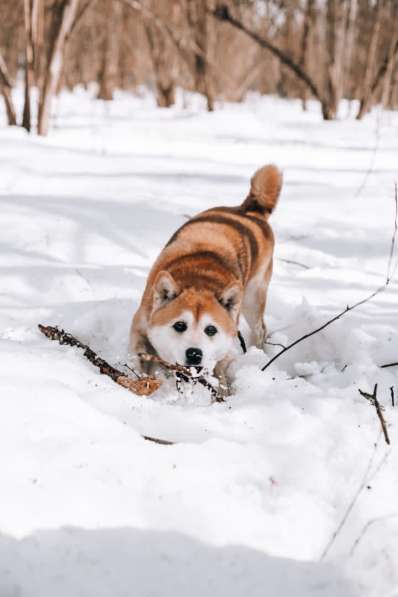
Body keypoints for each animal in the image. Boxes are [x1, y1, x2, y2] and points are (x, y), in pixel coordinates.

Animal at [129, 164, 282, 386]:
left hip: (253, 298)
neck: (199, 280)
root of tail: (248, 211)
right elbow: (137, 354)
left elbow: (220, 372)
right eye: (179, 325)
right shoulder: (141, 322)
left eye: (211, 329)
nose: (194, 354)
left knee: (260, 329)